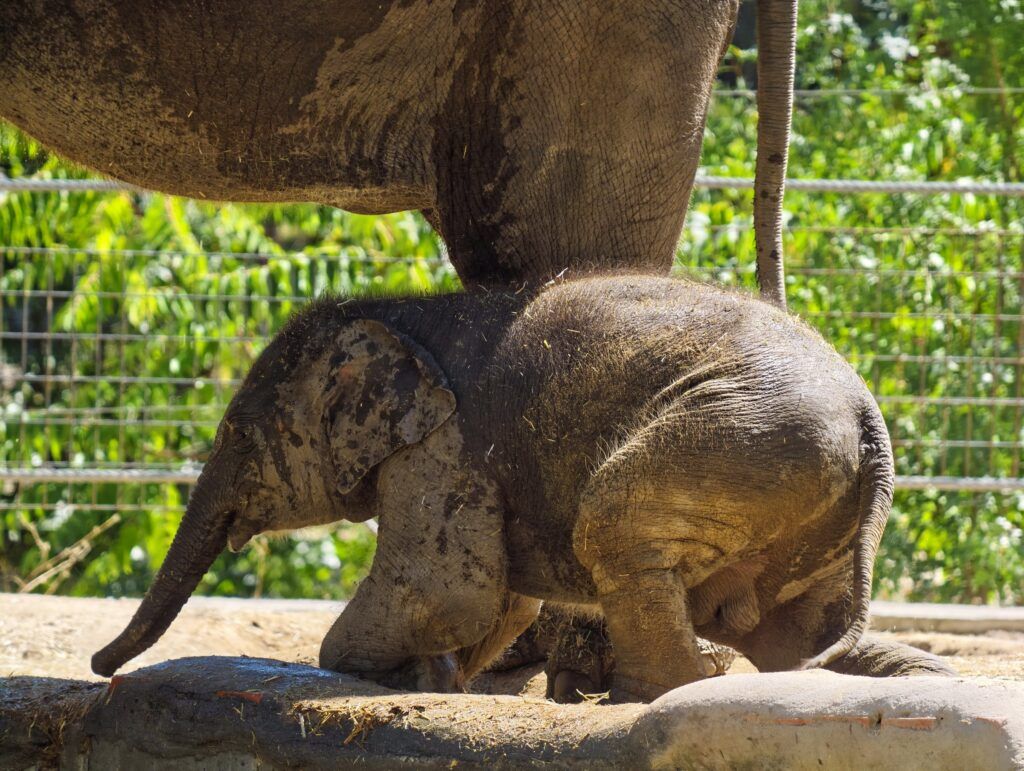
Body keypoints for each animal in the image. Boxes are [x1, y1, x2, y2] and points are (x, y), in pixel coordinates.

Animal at [91, 274, 952, 701]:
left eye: (235, 435)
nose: (100, 668)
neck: (399, 310)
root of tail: (868, 413)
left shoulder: (447, 441)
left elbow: (444, 586)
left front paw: (371, 670)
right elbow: (496, 598)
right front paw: (442, 677)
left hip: (740, 439)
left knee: (612, 521)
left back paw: (646, 693)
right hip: (807, 494)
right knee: (794, 628)